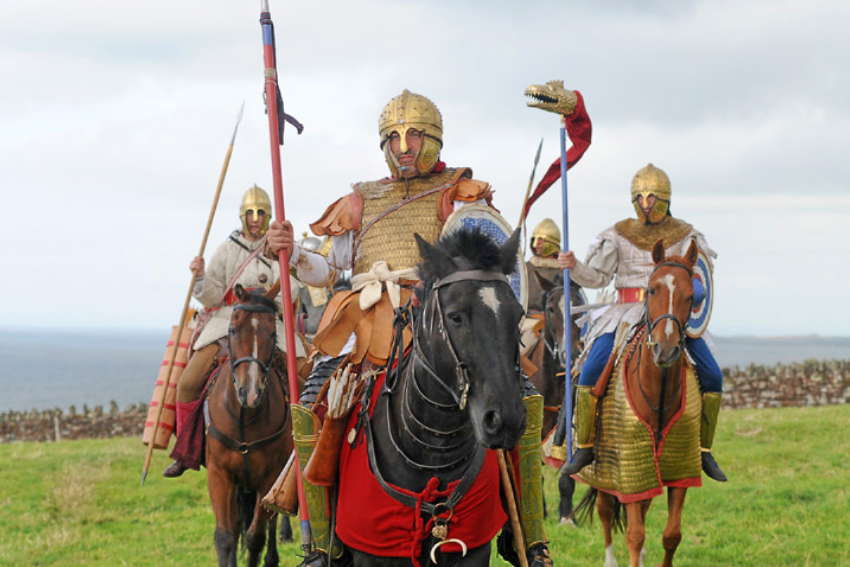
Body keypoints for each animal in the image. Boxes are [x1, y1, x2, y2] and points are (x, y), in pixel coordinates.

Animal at [205, 283, 293, 567]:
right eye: (233, 329)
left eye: (272, 332)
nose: (251, 392)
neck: (243, 418)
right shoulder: (219, 474)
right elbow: (226, 536)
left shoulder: (269, 476)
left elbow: (256, 537)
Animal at [574, 239, 702, 567]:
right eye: (652, 289)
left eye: (692, 296)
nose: (666, 350)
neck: (659, 391)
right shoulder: (626, 472)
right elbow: (634, 534)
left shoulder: (679, 472)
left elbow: (671, 535)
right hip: (604, 472)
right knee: (606, 511)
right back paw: (609, 559)